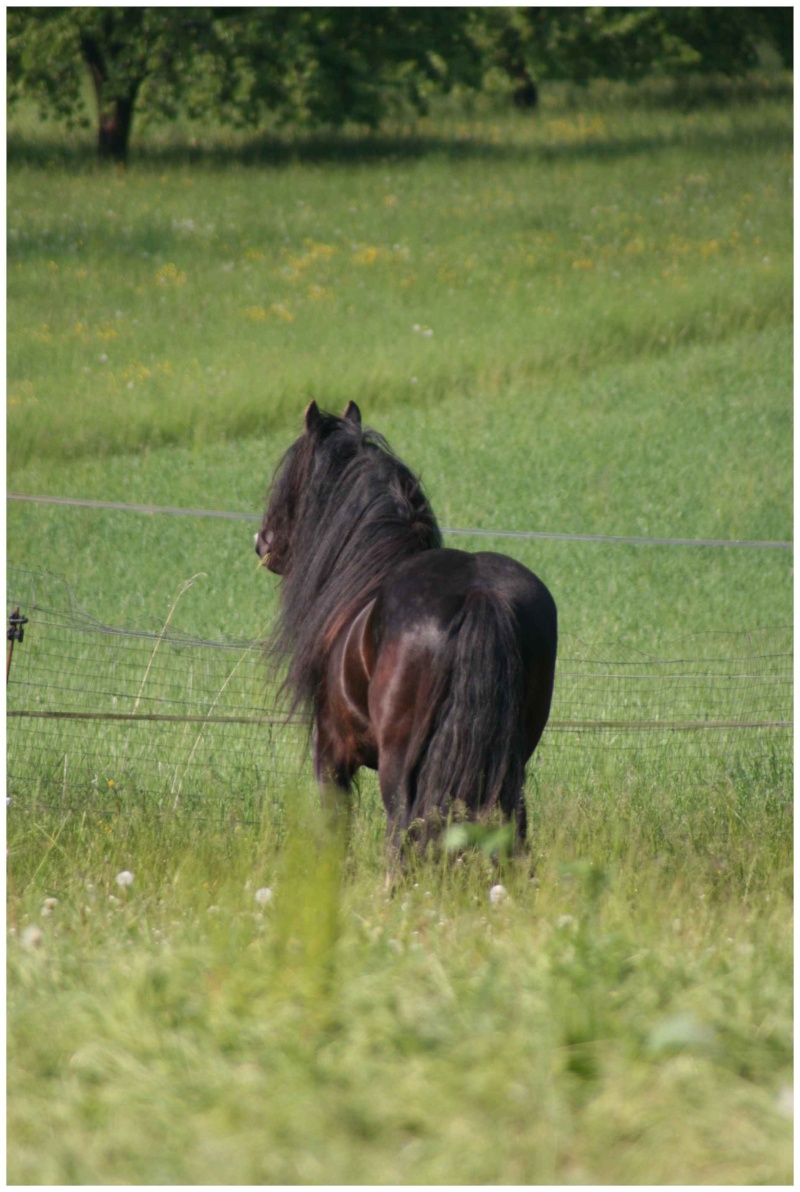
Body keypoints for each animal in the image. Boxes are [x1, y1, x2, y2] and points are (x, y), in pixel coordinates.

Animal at [258, 405, 557, 853]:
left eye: (291, 474)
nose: (263, 542)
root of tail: (480, 593)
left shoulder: (330, 757)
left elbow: (336, 833)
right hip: (512, 757)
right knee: (513, 828)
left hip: (399, 764)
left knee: (401, 829)